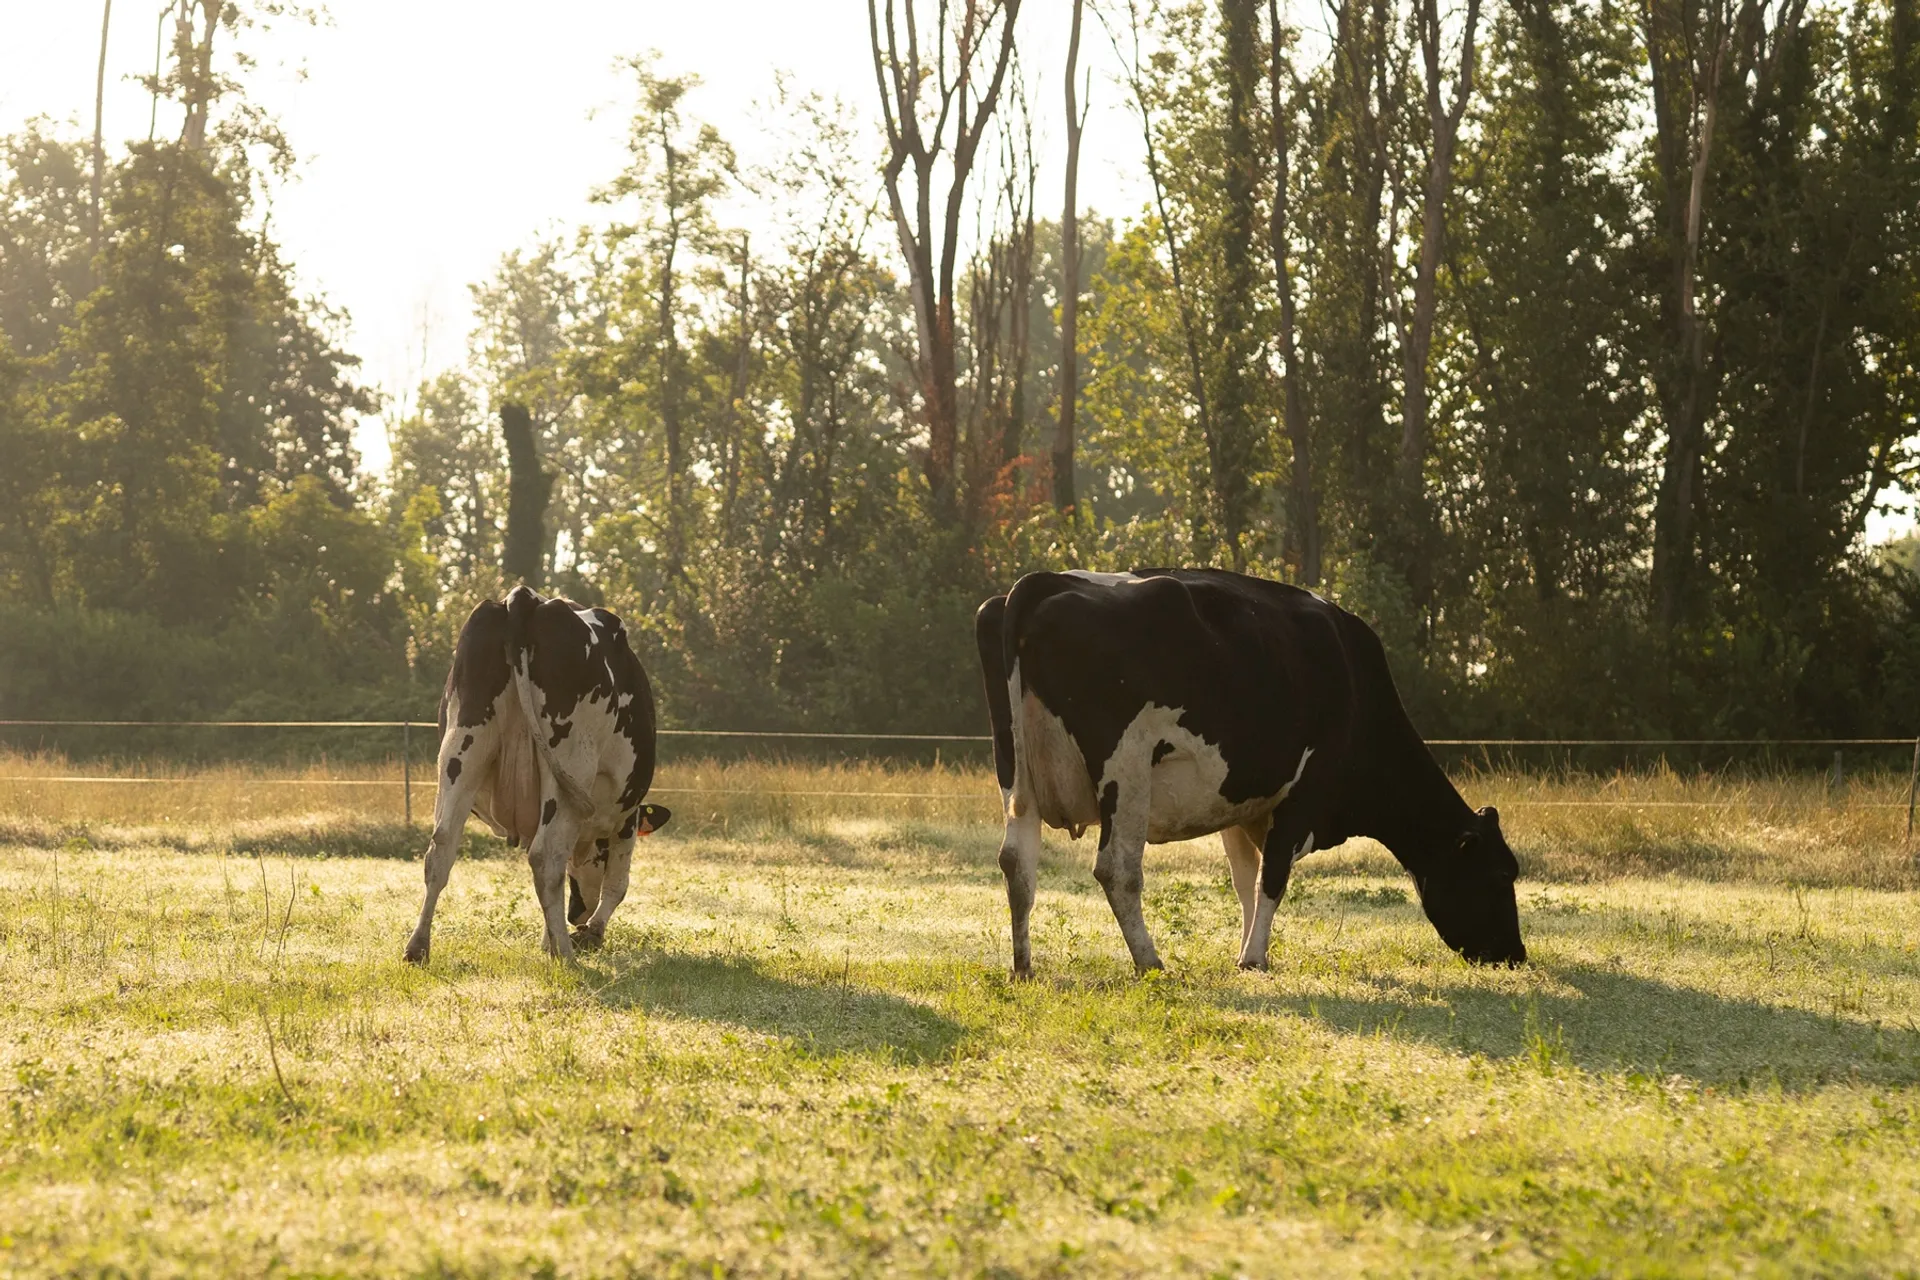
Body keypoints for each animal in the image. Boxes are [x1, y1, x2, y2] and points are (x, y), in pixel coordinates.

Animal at [401, 587, 672, 967]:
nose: (577, 915)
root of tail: (525, 597)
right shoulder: (626, 818)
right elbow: (618, 884)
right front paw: (587, 935)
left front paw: (554, 938)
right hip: (570, 762)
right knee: (546, 857)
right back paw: (568, 957)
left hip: (462, 749)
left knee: (441, 849)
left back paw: (418, 948)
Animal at [983, 571, 1520, 982]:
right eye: (1500, 875)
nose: (1516, 955)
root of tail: (1043, 581)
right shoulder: (1302, 796)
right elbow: (1273, 876)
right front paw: (1254, 958)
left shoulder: (1241, 805)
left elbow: (1245, 878)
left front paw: (1243, 951)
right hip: (1126, 767)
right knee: (1116, 867)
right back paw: (1150, 962)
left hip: (1017, 775)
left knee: (1017, 861)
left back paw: (1023, 967)